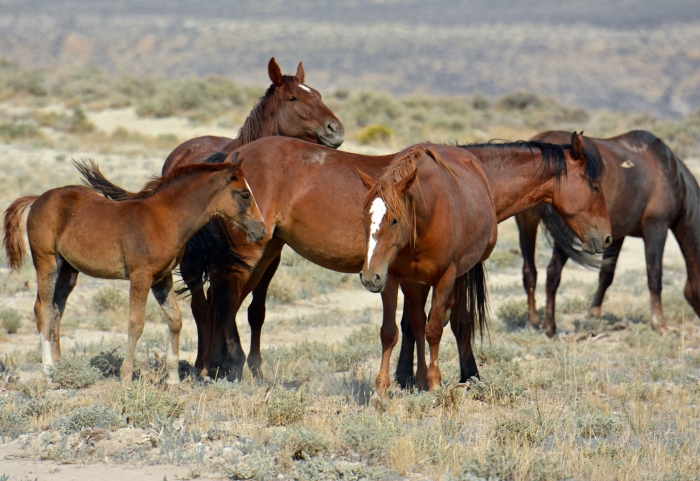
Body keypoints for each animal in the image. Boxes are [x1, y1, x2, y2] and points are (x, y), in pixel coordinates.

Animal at [2, 158, 266, 386]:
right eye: (244, 194)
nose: (261, 230)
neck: (164, 219)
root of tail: (38, 198)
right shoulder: (141, 276)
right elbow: (136, 323)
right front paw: (126, 377)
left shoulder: (162, 278)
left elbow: (175, 319)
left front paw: (172, 379)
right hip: (47, 262)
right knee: (43, 309)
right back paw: (48, 371)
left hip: (69, 271)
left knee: (57, 309)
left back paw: (60, 368)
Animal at [516, 129, 700, 336]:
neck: (669, 173)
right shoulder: (656, 228)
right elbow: (655, 275)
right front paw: (660, 325)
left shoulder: (615, 236)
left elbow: (606, 274)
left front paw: (593, 312)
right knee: (552, 273)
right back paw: (549, 327)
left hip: (527, 225)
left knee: (530, 272)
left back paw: (533, 322)